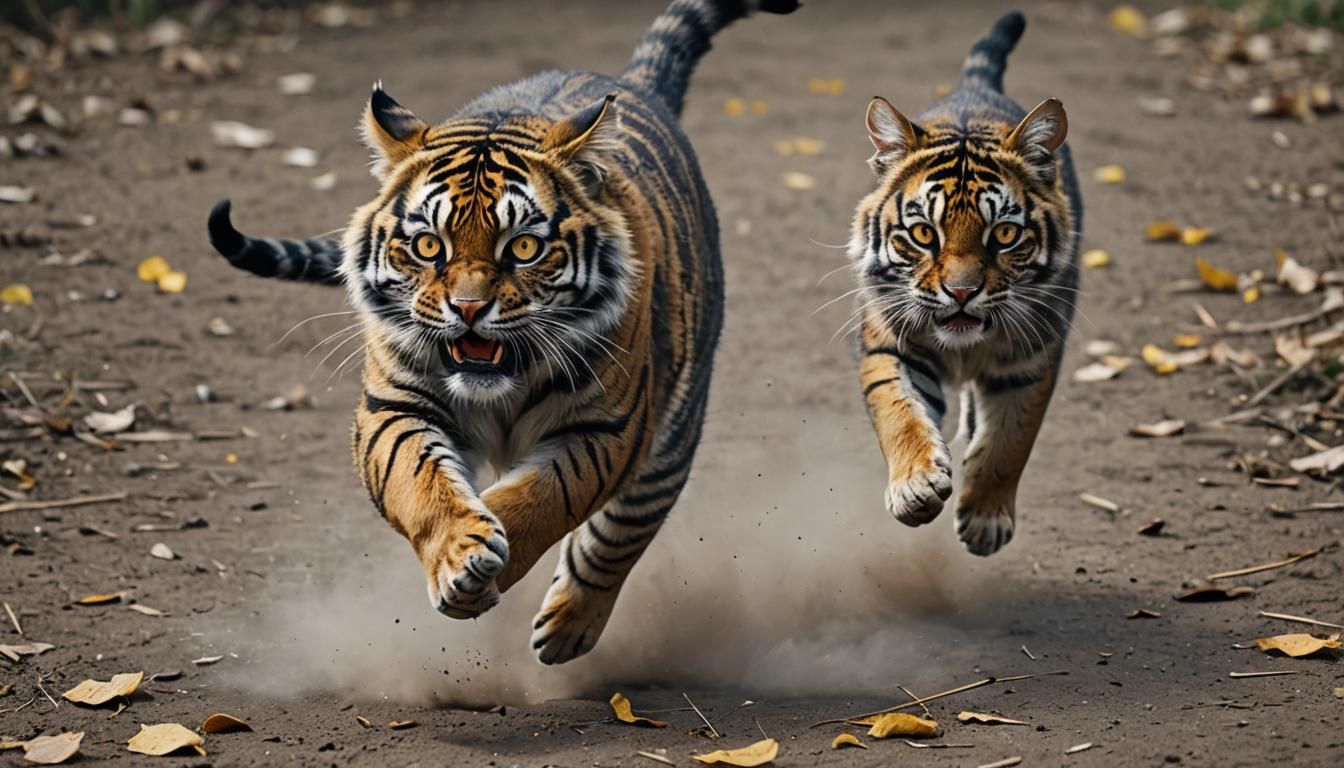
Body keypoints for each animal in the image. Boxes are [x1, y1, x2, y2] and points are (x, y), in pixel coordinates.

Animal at [206, 0, 798, 664]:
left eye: (522, 247)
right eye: (428, 245)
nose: (468, 308)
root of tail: (634, 84)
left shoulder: (608, 428)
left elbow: (546, 496)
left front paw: (490, 558)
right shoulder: (395, 407)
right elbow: (419, 479)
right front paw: (461, 553)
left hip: (671, 432)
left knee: (624, 530)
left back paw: (566, 629)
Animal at [847, 11, 1080, 557]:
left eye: (1005, 234)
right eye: (923, 234)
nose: (960, 292)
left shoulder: (1031, 360)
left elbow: (1010, 441)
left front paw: (984, 520)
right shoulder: (890, 345)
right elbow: (899, 413)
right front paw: (915, 486)